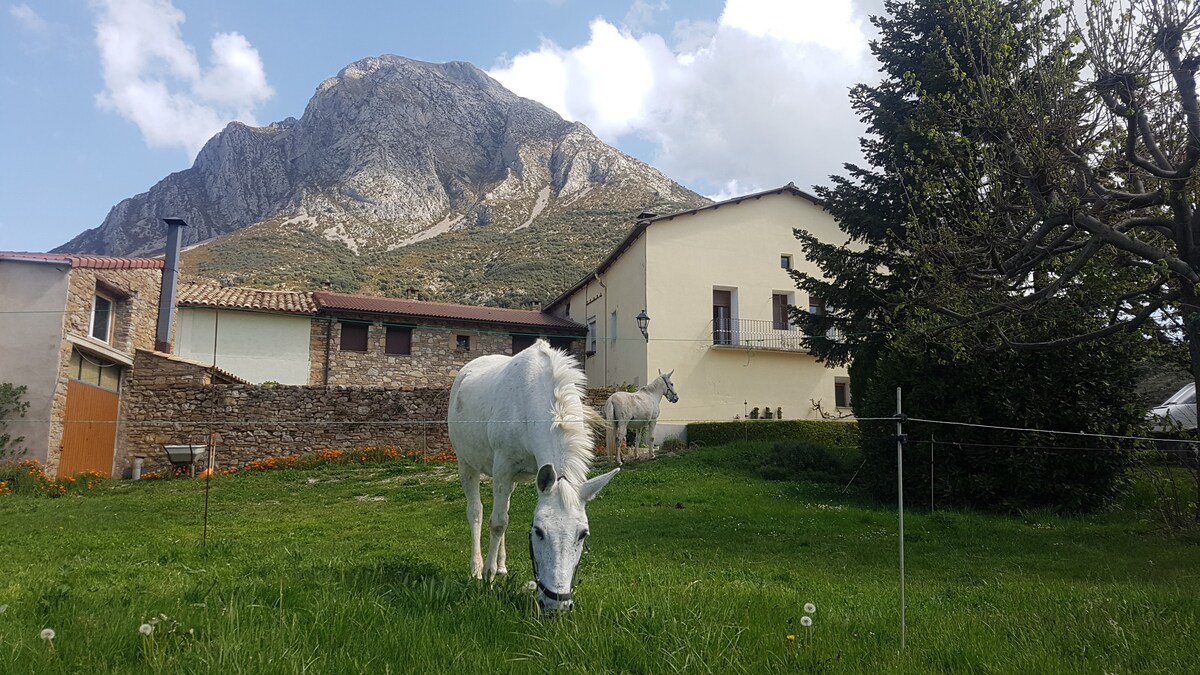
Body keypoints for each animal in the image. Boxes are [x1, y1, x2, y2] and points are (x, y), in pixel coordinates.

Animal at [447, 339, 619, 612]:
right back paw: (477, 567)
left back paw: (502, 566)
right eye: (538, 532)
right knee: (476, 512)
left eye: (583, 534)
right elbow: (497, 523)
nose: (557, 604)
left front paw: (497, 569)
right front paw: (488, 575)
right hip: (466, 465)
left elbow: (504, 519)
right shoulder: (502, 468)